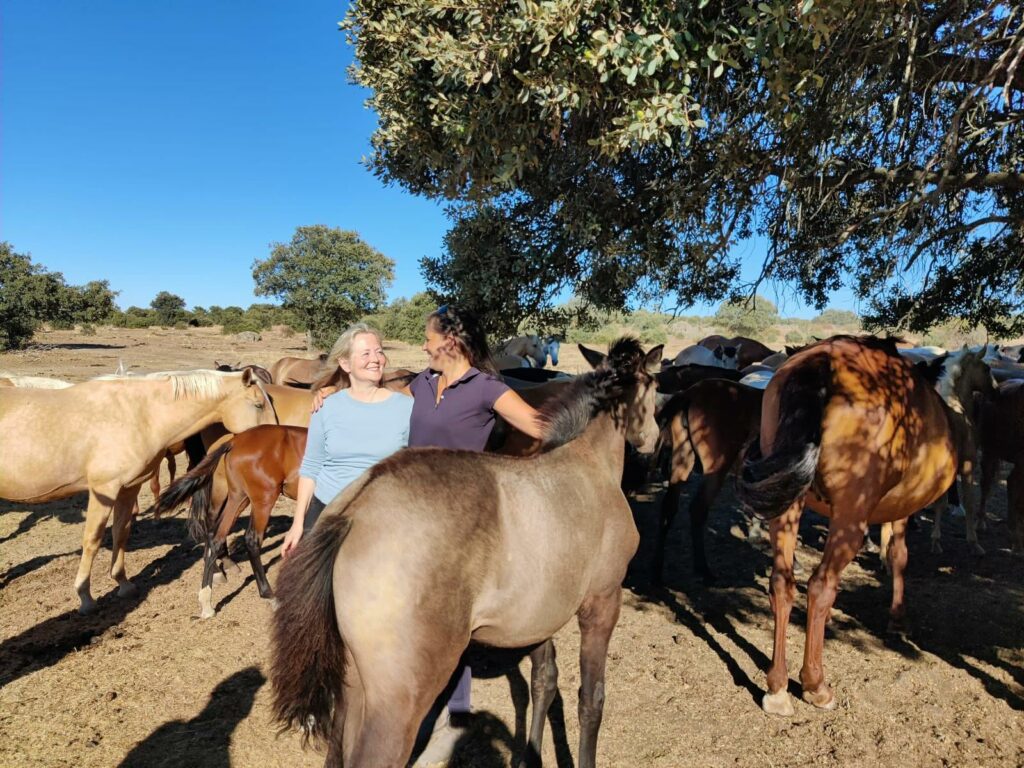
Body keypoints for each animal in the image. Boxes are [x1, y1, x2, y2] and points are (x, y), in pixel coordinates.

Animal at [0, 370, 276, 618]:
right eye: (258, 404)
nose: (274, 437)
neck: (141, 415)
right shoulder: (103, 490)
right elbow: (93, 540)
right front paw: (85, 597)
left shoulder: (128, 488)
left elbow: (121, 532)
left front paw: (123, 583)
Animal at [147, 423, 307, 618]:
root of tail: (234, 442)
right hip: (263, 499)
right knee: (251, 540)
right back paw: (269, 595)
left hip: (238, 498)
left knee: (216, 537)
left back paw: (207, 602)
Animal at [268, 342, 659, 768]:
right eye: (655, 385)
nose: (654, 440)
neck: (588, 463)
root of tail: (355, 511)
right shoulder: (602, 602)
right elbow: (591, 699)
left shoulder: (541, 613)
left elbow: (544, 681)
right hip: (399, 702)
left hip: (355, 685)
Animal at [737, 335, 991, 716]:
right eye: (987, 369)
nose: (992, 391)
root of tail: (824, 360)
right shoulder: (900, 509)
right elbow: (898, 555)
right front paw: (897, 618)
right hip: (849, 520)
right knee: (820, 585)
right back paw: (815, 685)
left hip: (787, 509)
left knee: (782, 583)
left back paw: (777, 688)